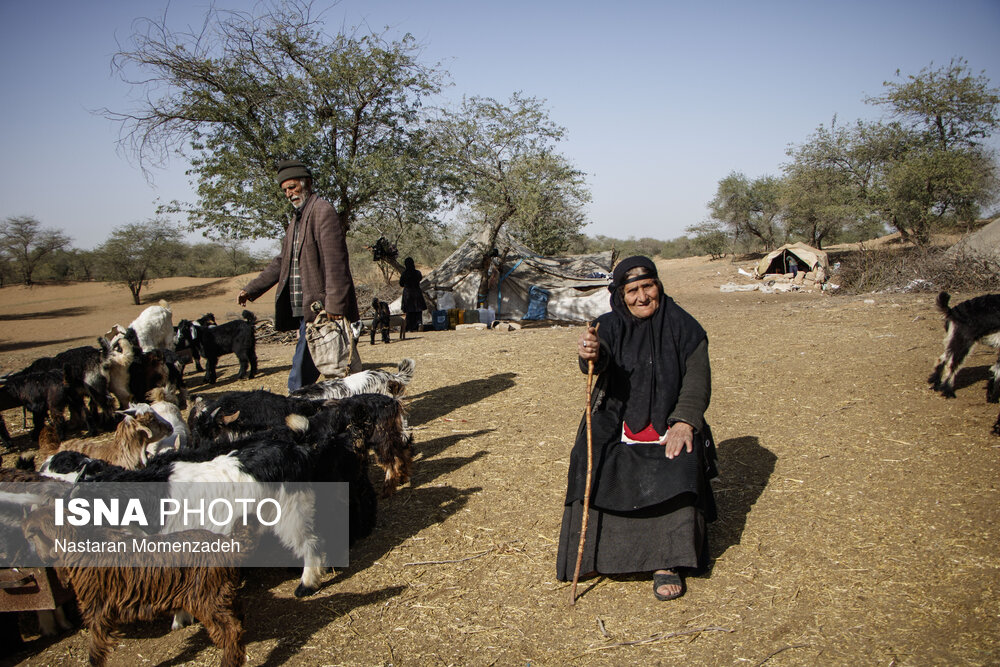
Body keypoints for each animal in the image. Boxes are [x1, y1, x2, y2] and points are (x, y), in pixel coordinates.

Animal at [23, 508, 250, 664]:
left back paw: (229, 659)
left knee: (233, 628)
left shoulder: (96, 607)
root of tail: (228, 545)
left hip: (207, 596)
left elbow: (96, 650)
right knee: (237, 618)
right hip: (219, 593)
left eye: (30, 536)